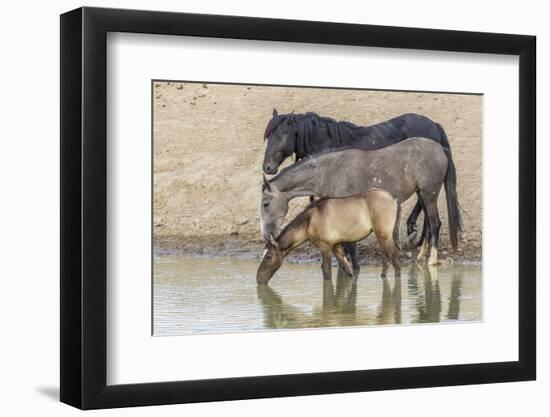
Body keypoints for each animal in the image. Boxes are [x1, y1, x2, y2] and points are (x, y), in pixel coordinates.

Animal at [264, 109, 462, 268]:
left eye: (280, 135)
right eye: (268, 137)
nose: (267, 167)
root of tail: (434, 128)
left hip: (428, 192)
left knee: (433, 221)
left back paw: (423, 248)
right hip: (423, 192)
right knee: (428, 220)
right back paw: (419, 250)